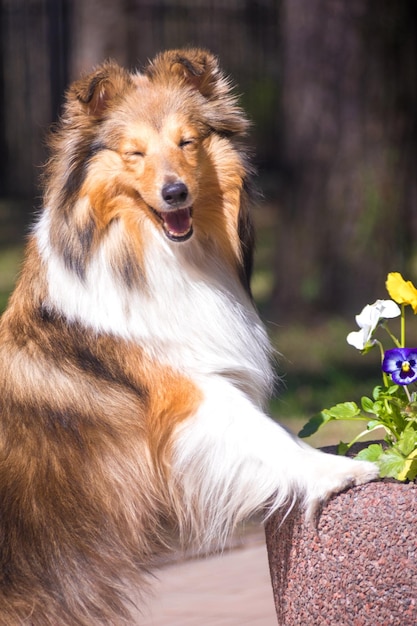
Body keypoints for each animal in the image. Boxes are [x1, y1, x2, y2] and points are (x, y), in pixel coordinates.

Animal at [0, 50, 376, 624]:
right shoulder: (183, 391)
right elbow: (267, 432)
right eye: (134, 152)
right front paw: (337, 471)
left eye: (187, 142)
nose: (175, 192)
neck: (156, 255)